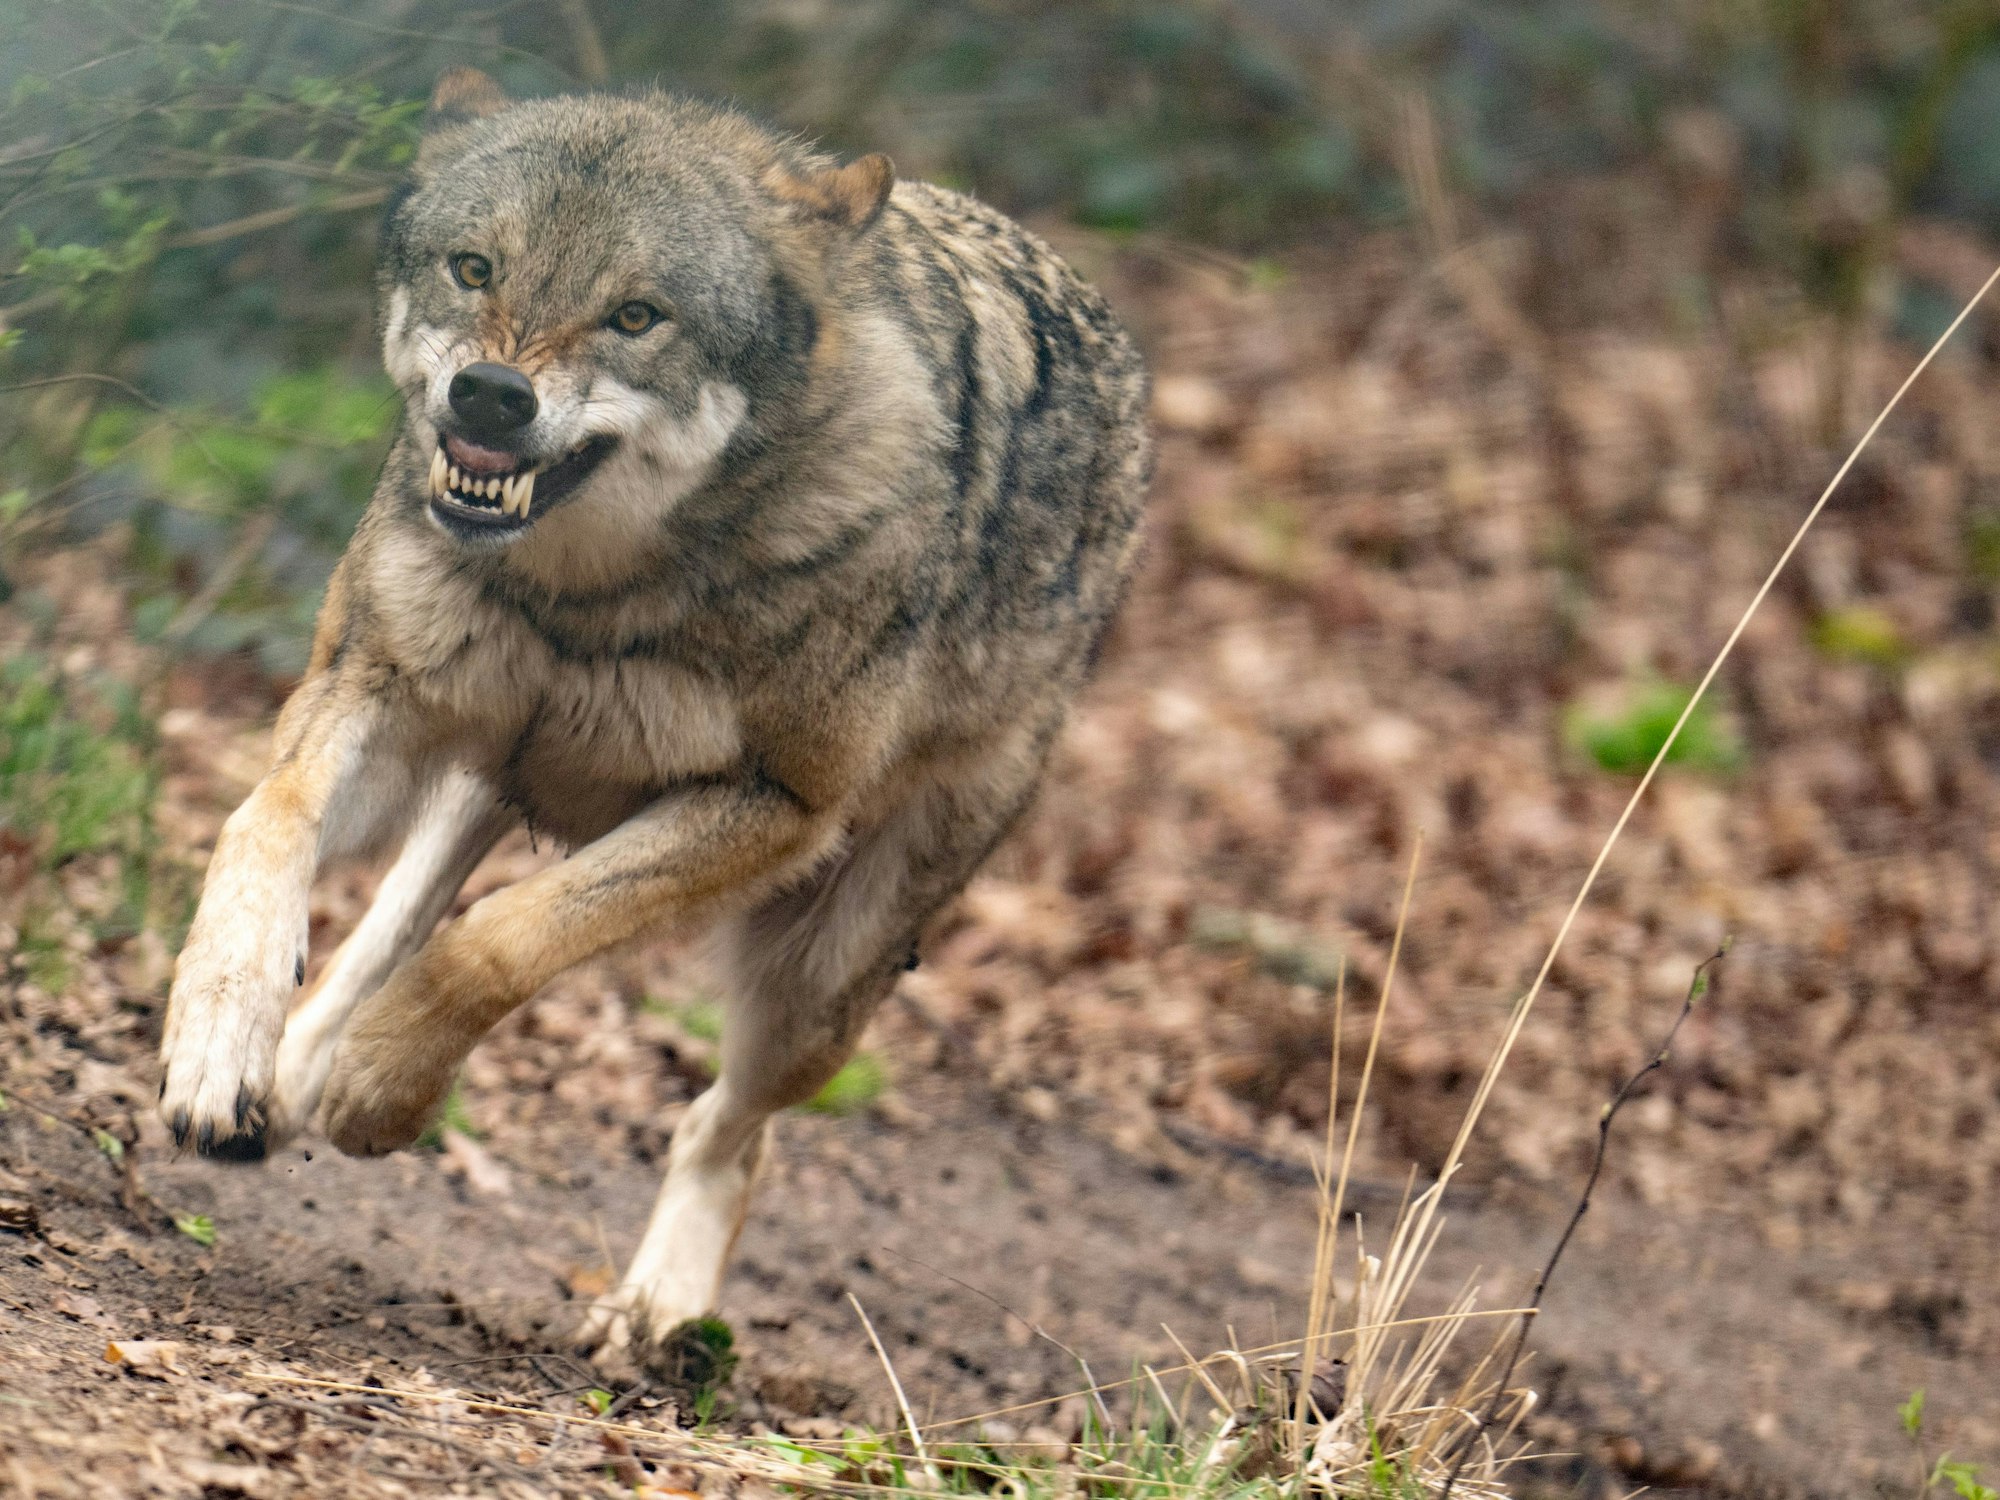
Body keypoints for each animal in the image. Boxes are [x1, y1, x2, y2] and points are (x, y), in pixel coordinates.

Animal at [155, 68, 1150, 1364]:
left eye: (636, 316)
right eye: (475, 268)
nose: (491, 394)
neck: (586, 594)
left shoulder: (773, 811)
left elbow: (499, 944)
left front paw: (381, 1094)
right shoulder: (374, 687)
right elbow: (263, 822)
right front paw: (220, 1042)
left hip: (816, 989)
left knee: (726, 1127)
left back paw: (655, 1308)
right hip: (483, 779)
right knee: (387, 923)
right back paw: (285, 1077)